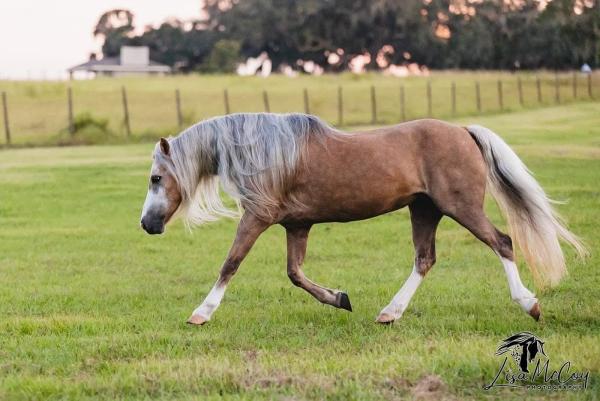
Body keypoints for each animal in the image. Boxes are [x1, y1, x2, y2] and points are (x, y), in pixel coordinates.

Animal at [139, 112, 584, 324]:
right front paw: (340, 298)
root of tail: (462, 130)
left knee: (502, 242)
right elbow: (295, 274)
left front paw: (201, 313)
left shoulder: (257, 217)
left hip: (462, 208)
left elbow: (230, 264)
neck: (267, 153)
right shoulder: (296, 225)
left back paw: (530, 304)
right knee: (425, 259)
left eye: (156, 178)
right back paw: (389, 313)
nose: (147, 225)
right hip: (424, 210)